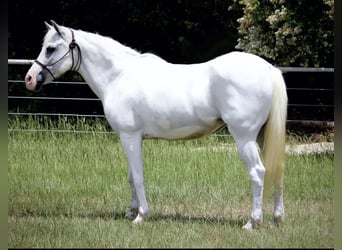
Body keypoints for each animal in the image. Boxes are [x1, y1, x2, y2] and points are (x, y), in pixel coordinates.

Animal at [24, 20, 288, 229]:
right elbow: (131, 176)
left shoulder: (129, 136)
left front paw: (141, 216)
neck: (118, 76)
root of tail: (268, 69)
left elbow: (139, 176)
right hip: (262, 136)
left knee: (258, 172)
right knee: (276, 170)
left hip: (244, 138)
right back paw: (276, 219)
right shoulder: (130, 139)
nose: (29, 78)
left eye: (50, 48)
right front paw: (130, 211)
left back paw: (252, 222)